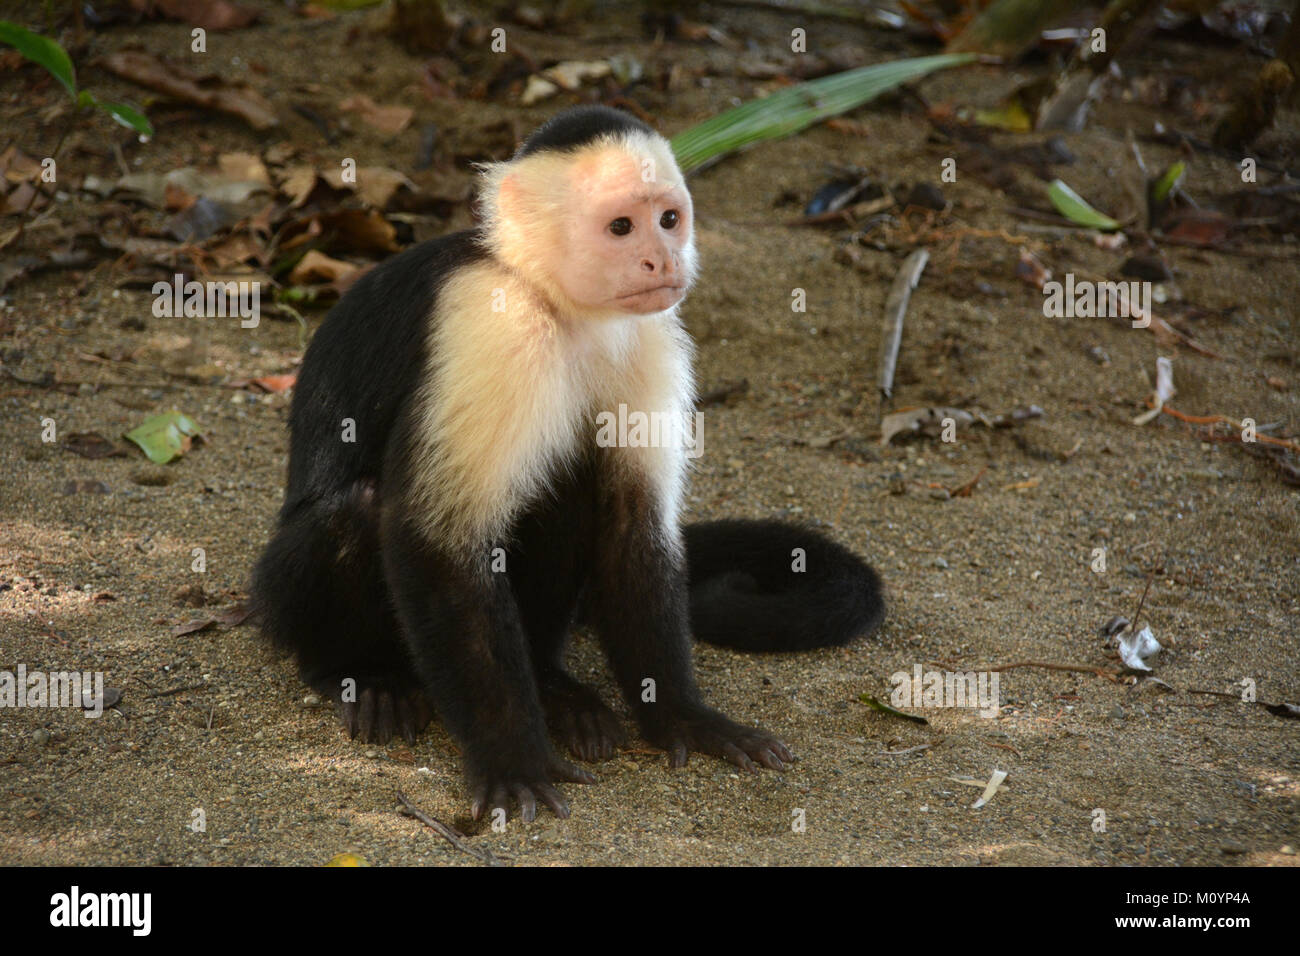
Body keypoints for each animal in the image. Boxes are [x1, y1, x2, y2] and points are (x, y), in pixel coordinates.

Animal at [253, 104, 883, 822]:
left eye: (669, 219)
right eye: (621, 227)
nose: (662, 258)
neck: (555, 300)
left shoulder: (651, 336)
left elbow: (633, 523)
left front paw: (682, 716)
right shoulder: (488, 327)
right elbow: (437, 543)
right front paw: (510, 756)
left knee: (572, 486)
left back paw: (555, 686)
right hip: (279, 593)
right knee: (356, 513)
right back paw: (359, 675)